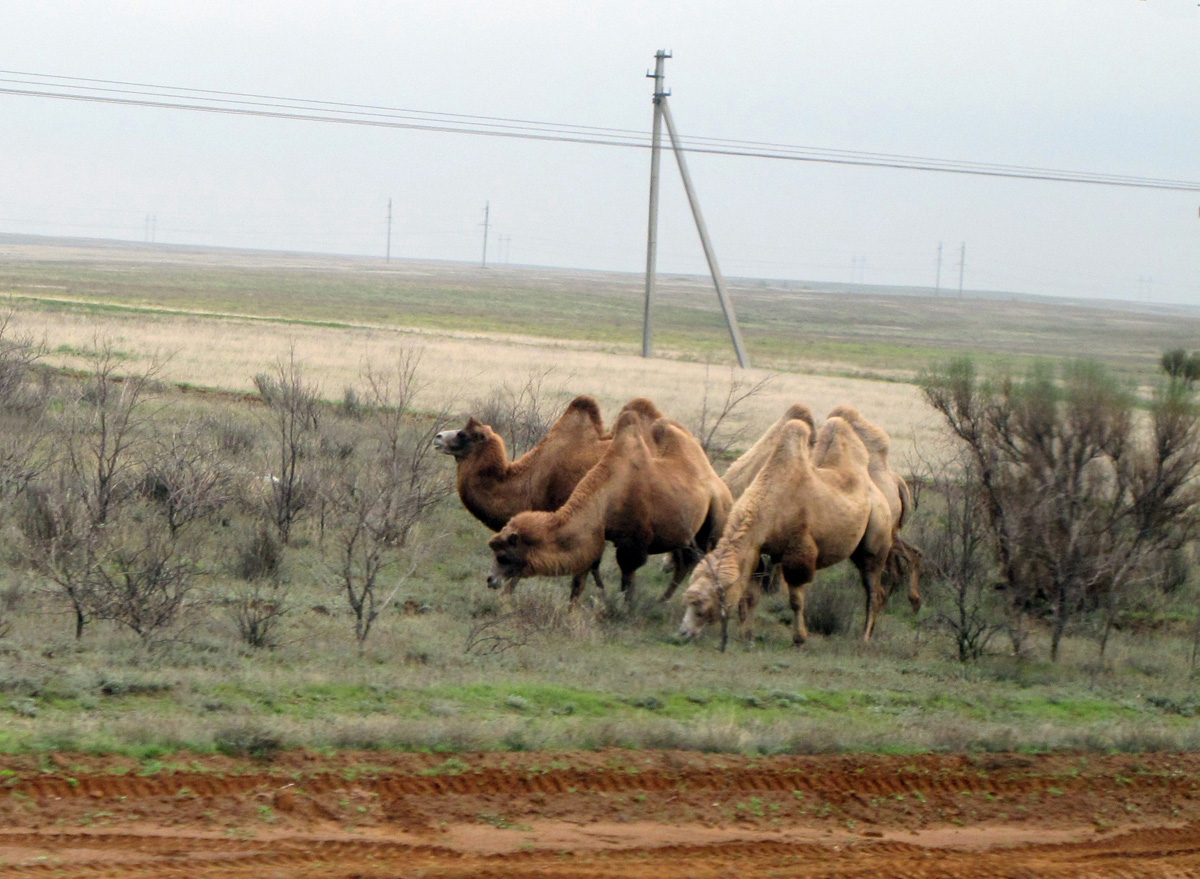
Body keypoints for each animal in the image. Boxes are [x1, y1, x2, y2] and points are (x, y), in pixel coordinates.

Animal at [487, 410, 733, 604]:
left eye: (503, 557)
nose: (490, 579)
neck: (608, 496)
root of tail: (721, 484)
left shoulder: (634, 543)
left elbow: (627, 579)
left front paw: (625, 610)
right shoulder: (598, 537)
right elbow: (584, 575)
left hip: (716, 520)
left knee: (699, 561)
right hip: (689, 535)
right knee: (685, 562)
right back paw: (663, 601)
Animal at [678, 416, 892, 650]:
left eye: (703, 605)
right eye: (687, 600)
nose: (683, 632)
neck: (771, 504)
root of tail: (881, 494)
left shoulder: (799, 552)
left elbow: (796, 601)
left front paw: (799, 639)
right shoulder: (757, 549)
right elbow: (752, 594)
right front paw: (746, 635)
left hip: (876, 537)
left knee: (873, 588)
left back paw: (865, 637)